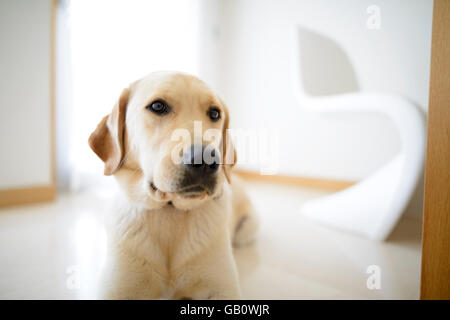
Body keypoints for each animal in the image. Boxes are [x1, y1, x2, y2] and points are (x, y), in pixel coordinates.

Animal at [89, 71, 256, 298]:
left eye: (214, 113)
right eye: (158, 106)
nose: (206, 160)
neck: (169, 212)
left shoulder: (222, 290)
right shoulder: (118, 290)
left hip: (248, 229)